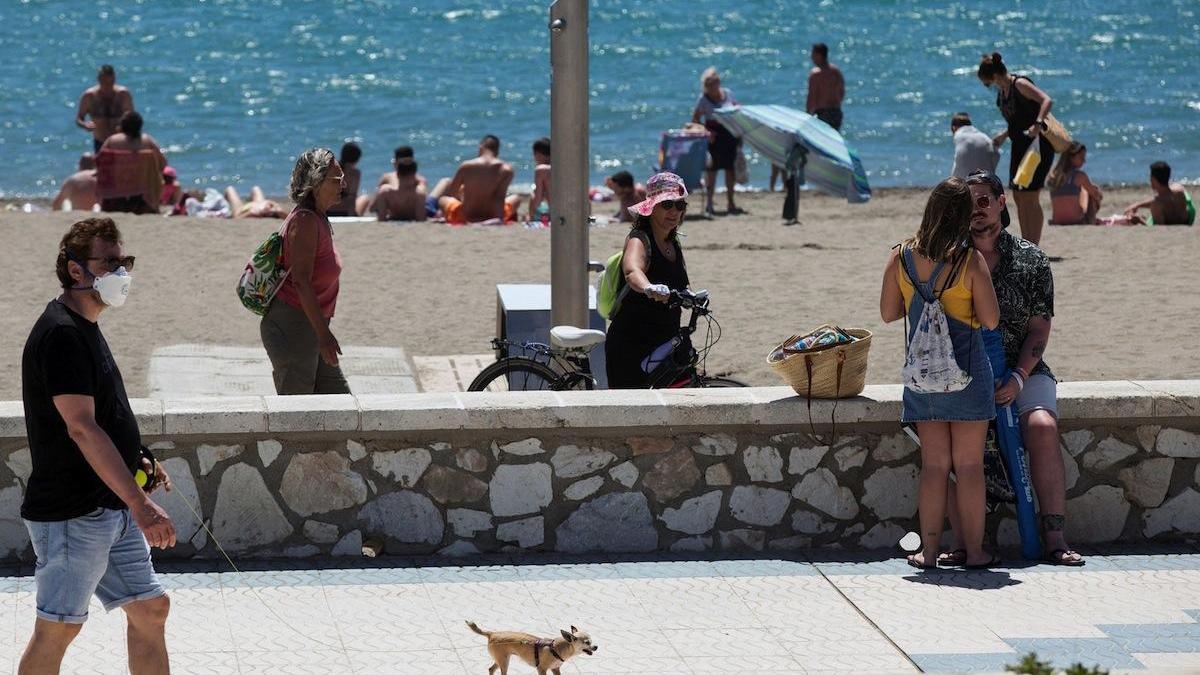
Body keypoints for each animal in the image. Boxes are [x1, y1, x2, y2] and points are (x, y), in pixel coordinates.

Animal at [468, 619, 600, 667]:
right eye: (587, 642)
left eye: (592, 641)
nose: (596, 646)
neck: (558, 648)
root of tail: (492, 634)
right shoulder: (541, 669)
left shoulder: (555, 669)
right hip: (504, 661)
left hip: (502, 659)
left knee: (491, 669)